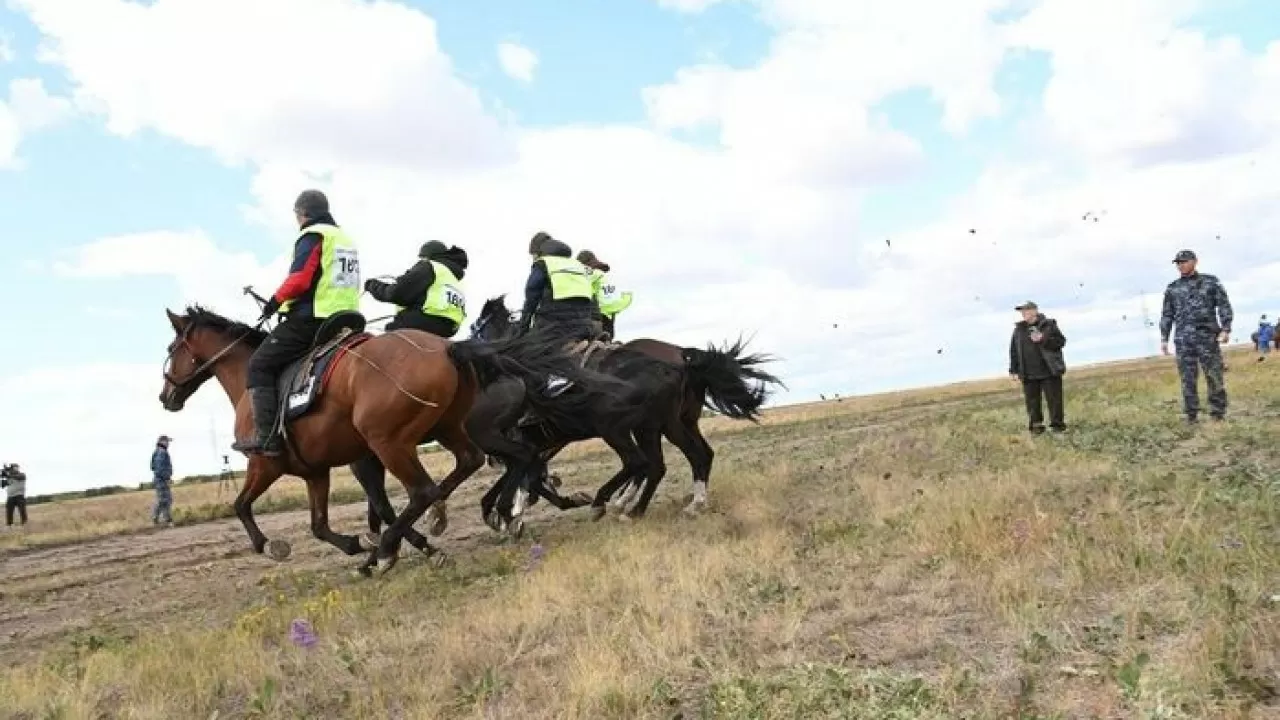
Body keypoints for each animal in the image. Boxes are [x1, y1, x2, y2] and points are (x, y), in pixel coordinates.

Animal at [158, 301, 624, 571]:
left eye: (170, 349)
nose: (166, 396)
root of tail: (449, 348)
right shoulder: (317, 471)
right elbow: (320, 525)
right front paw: (362, 544)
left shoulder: (266, 463)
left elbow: (241, 505)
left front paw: (272, 545)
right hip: (451, 432)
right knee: (483, 465)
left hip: (392, 442)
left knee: (428, 488)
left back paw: (393, 549)